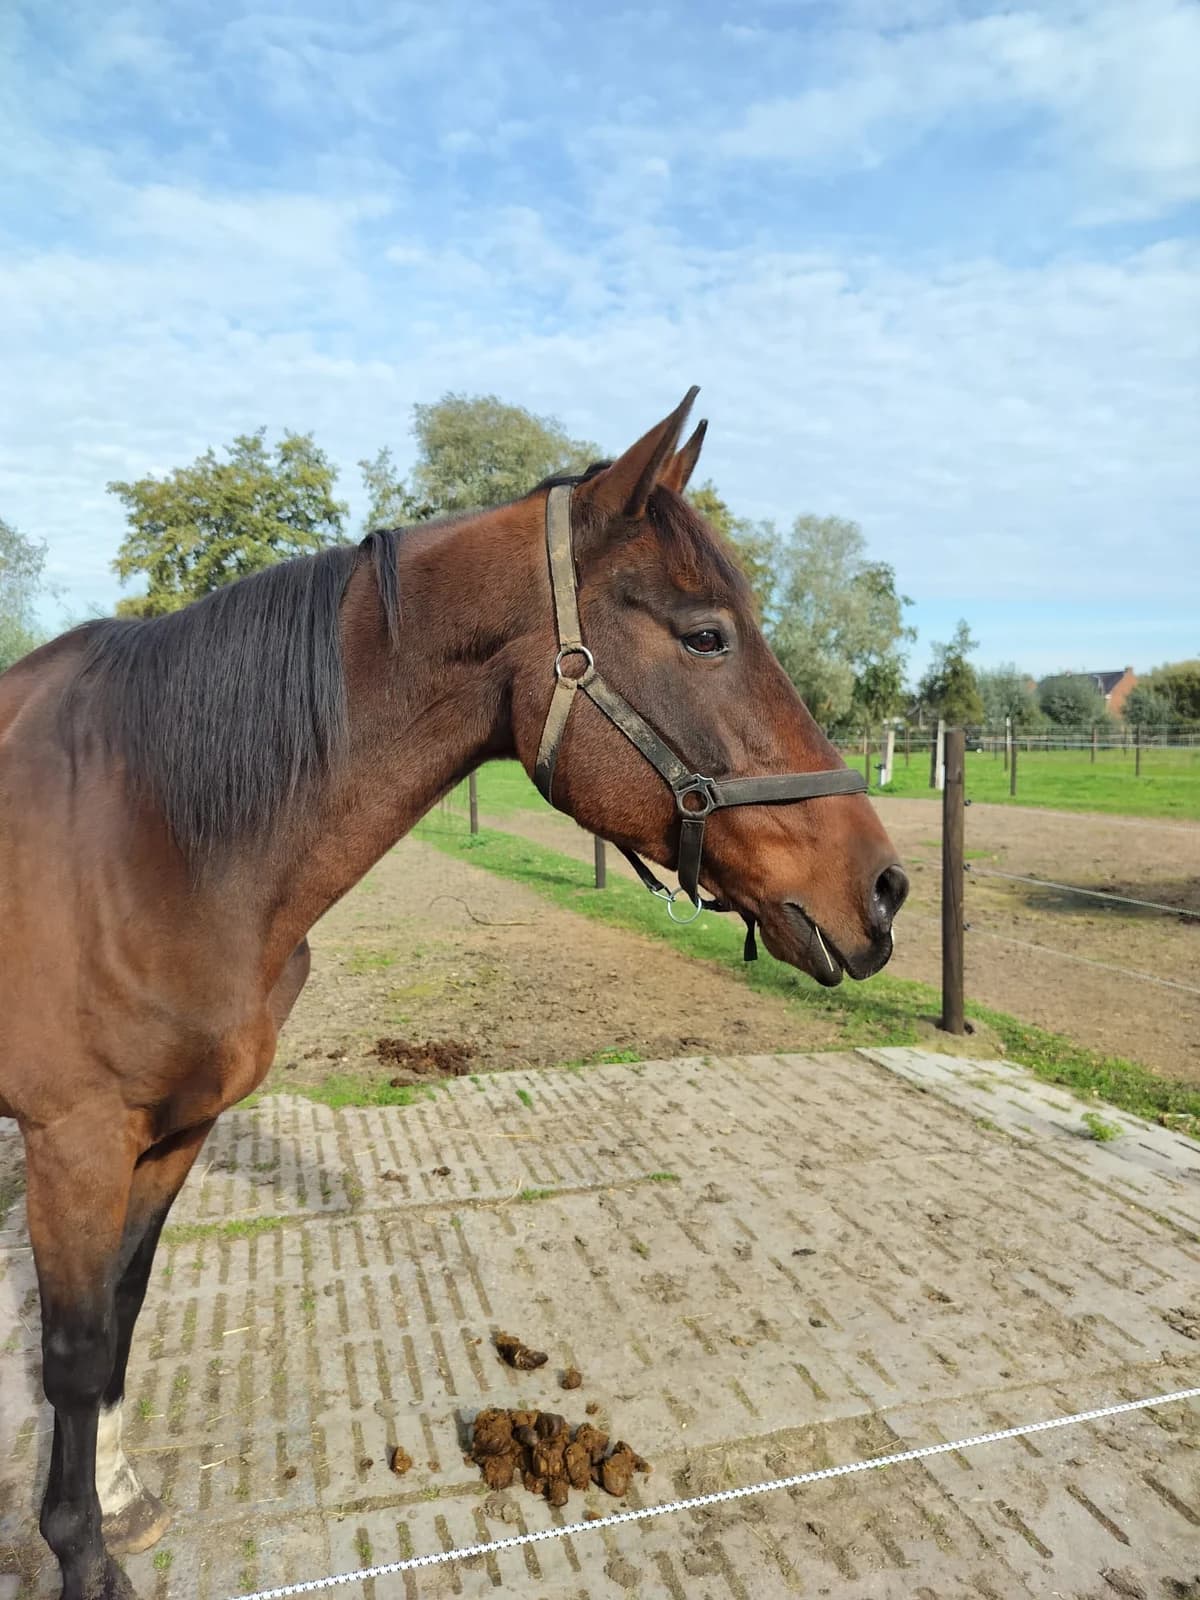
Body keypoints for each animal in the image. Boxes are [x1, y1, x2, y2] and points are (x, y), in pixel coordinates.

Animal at [0, 388, 907, 1599]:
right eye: (706, 633)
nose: (885, 888)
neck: (145, 832)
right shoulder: (77, 1139)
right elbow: (73, 1348)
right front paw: (81, 1551)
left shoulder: (173, 1130)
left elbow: (118, 1318)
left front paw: (115, 1499)